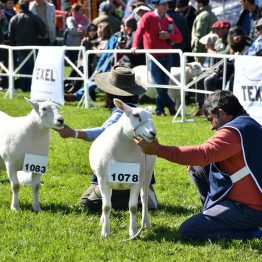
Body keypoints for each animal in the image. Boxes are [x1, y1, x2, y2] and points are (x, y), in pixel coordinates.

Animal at [89, 97, 157, 237]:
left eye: (151, 116)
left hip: (147, 176)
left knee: (144, 199)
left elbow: (133, 207)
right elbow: (106, 207)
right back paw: (102, 221)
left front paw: (133, 232)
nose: (153, 133)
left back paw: (146, 223)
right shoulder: (103, 181)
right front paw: (105, 231)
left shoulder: (136, 181)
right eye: (136, 115)